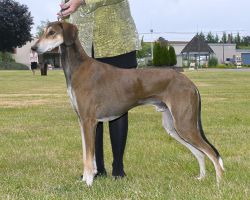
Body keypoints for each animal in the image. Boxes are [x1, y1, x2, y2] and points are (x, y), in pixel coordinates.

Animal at [31, 21, 225, 186]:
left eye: (51, 32)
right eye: (44, 31)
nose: (33, 47)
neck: (79, 66)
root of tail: (189, 82)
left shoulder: (89, 121)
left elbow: (89, 156)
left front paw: (88, 183)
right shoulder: (83, 122)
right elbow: (87, 154)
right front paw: (86, 179)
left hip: (184, 125)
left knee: (211, 153)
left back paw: (219, 183)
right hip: (173, 127)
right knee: (200, 153)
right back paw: (201, 178)